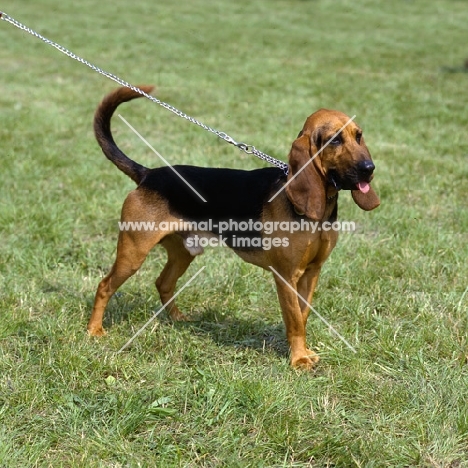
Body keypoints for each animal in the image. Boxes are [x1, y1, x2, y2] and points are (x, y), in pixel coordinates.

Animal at [87, 85, 380, 370]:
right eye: (335, 140)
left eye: (358, 136)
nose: (370, 168)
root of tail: (148, 174)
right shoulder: (286, 277)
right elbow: (295, 320)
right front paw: (298, 359)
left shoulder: (312, 272)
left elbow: (304, 315)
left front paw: (304, 352)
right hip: (133, 254)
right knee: (104, 286)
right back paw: (94, 330)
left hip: (184, 252)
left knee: (163, 283)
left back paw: (178, 319)